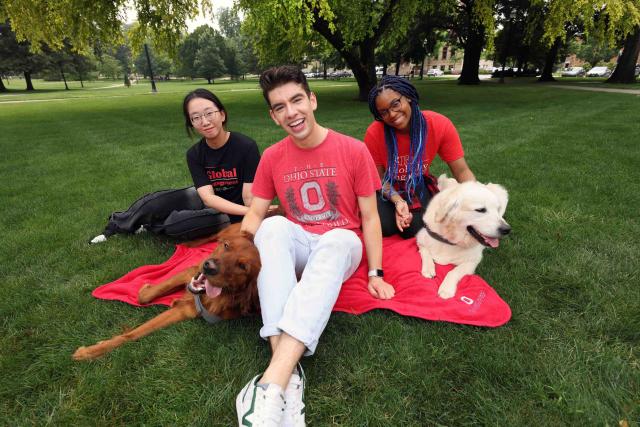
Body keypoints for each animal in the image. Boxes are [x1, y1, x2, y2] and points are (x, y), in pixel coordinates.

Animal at [72, 224, 258, 362]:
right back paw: (191, 244)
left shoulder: (184, 311)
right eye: (227, 246)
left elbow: (133, 334)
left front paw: (90, 351)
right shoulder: (191, 271)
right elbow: (145, 297)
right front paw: (90, 352)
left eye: (242, 266)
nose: (209, 266)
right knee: (212, 235)